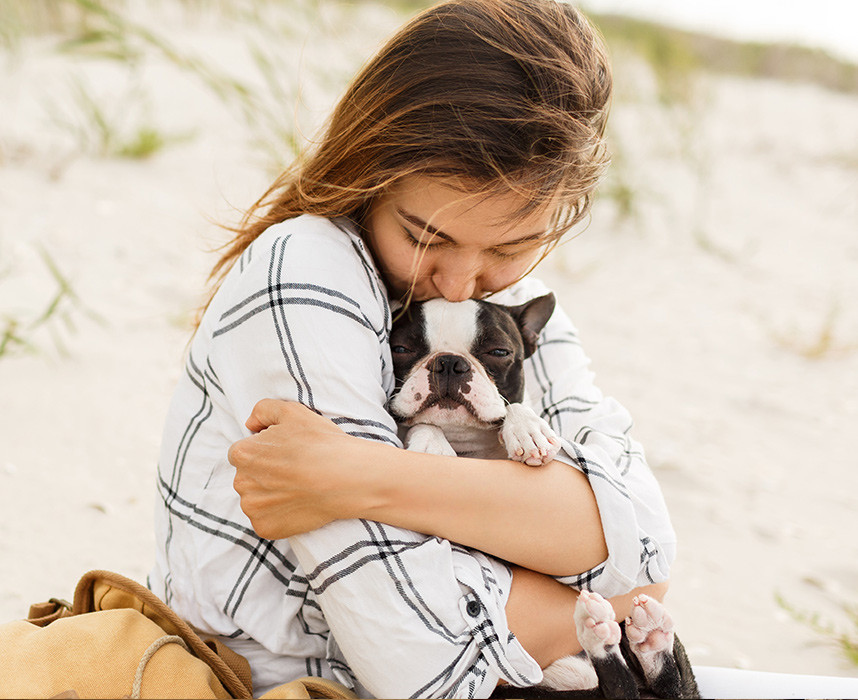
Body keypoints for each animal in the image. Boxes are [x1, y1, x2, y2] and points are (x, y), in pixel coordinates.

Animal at [384, 292, 692, 696]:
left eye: (499, 351)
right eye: (401, 348)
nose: (449, 362)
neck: (468, 447)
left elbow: (517, 406)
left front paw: (527, 430)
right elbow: (421, 426)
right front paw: (432, 445)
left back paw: (647, 639)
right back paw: (621, 636)